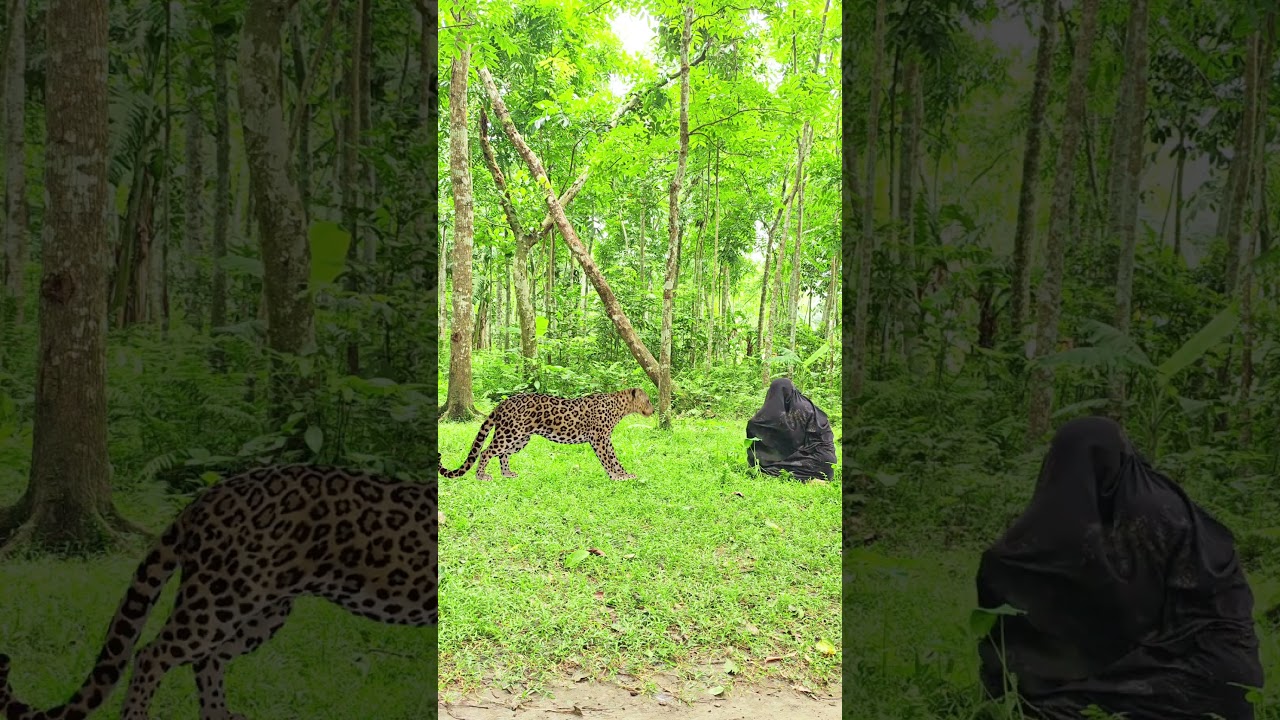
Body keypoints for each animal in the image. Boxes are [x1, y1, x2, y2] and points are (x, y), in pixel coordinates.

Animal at [0, 464, 437, 720]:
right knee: (151, 654)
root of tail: (206, 497)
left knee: (208, 659)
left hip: (262, 609)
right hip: (221, 599)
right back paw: (138, 716)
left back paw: (220, 717)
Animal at [439, 387, 655, 481]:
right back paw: (481, 476)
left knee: (503, 454)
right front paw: (615, 476)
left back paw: (507, 473)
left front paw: (624, 474)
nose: (653, 411)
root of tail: (503, 403)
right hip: (509, 434)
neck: (620, 407)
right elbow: (608, 460)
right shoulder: (599, 439)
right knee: (486, 451)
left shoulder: (606, 439)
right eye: (648, 400)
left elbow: (614, 458)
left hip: (520, 438)